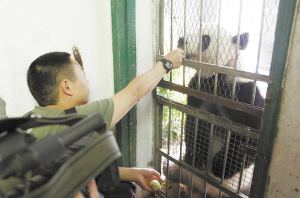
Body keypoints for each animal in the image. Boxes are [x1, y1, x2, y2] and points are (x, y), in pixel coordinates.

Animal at [164, 24, 264, 197]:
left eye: (205, 38)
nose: (181, 39)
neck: (215, 78)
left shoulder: (243, 92)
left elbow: (251, 136)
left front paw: (219, 167)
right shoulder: (199, 87)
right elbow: (194, 120)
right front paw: (197, 158)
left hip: (244, 185)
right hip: (184, 170)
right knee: (170, 169)